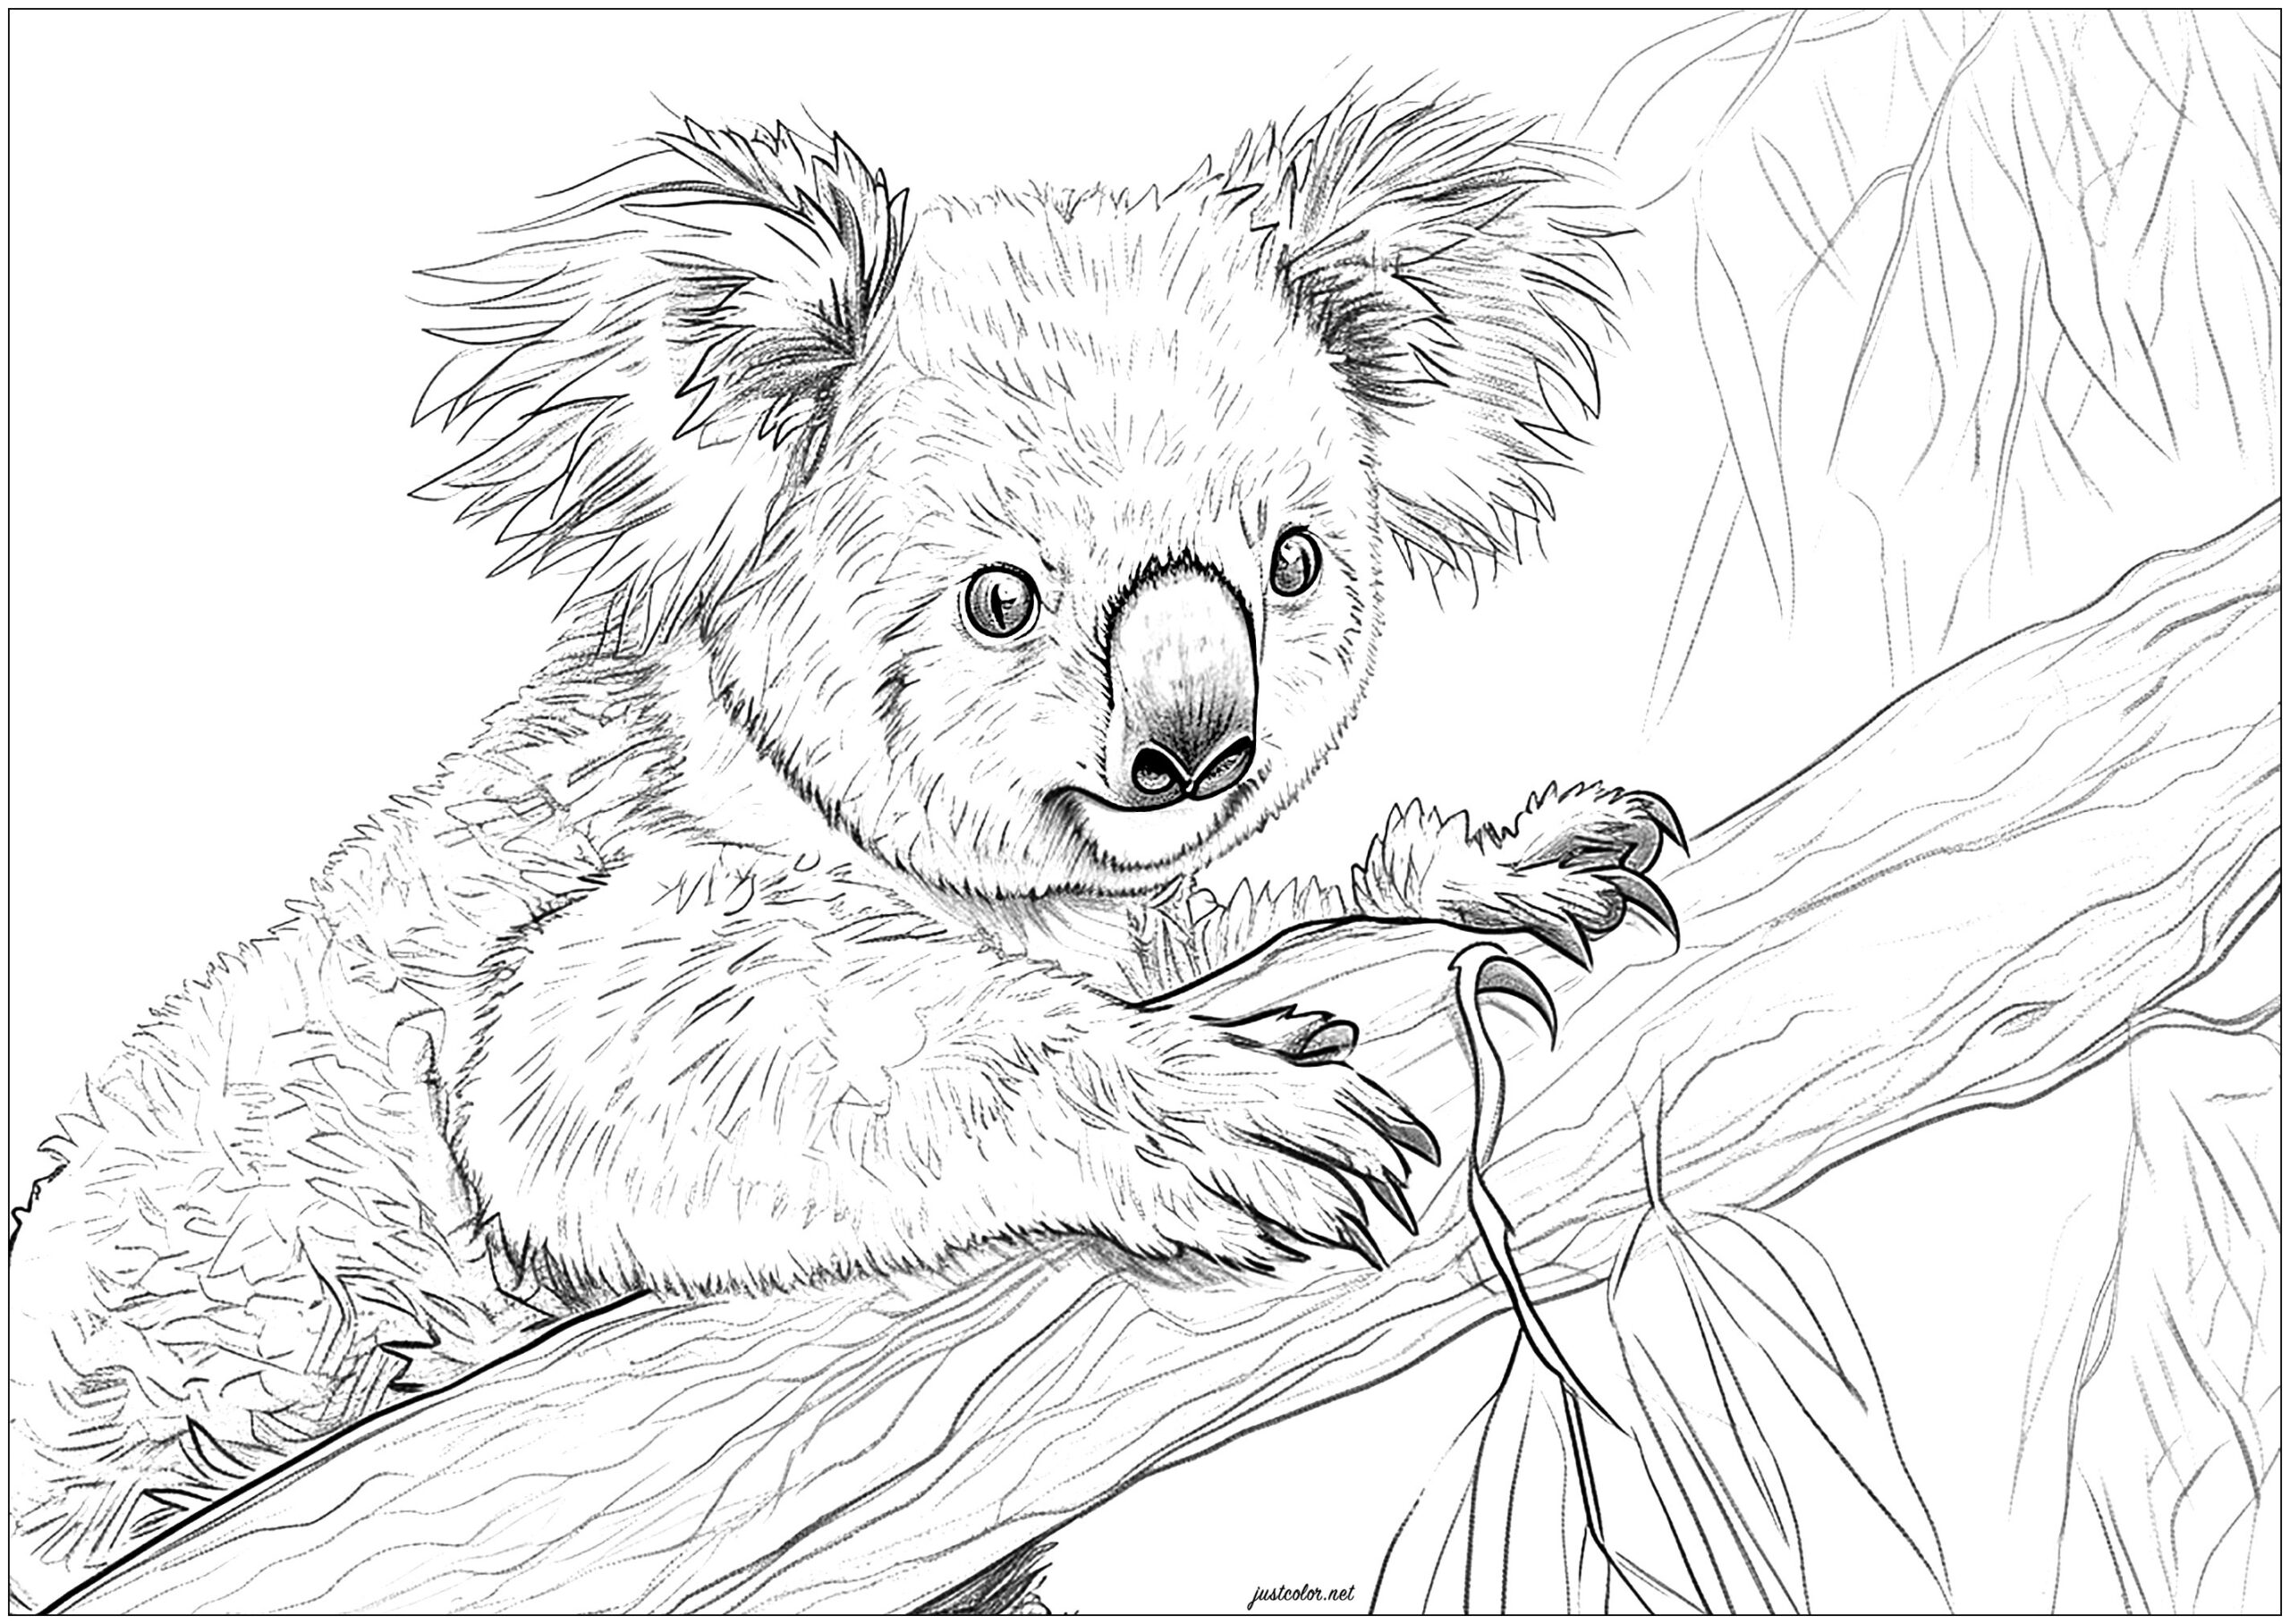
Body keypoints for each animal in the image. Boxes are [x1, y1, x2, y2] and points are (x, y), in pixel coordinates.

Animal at [8, 92, 1679, 1606]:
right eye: (1000, 599)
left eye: (1294, 562)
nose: (1199, 744)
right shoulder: (608, 927)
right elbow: (606, 1057)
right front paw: (1219, 1112)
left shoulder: (1134, 911)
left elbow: (1238, 911)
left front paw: (1508, 863)